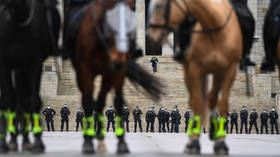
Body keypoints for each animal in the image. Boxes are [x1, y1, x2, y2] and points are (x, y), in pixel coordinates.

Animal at [149, 0, 243, 155]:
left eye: (159, 5)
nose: (152, 34)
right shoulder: (194, 69)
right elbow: (198, 103)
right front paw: (193, 142)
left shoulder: (228, 70)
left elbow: (222, 103)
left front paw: (221, 142)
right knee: (195, 101)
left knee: (211, 99)